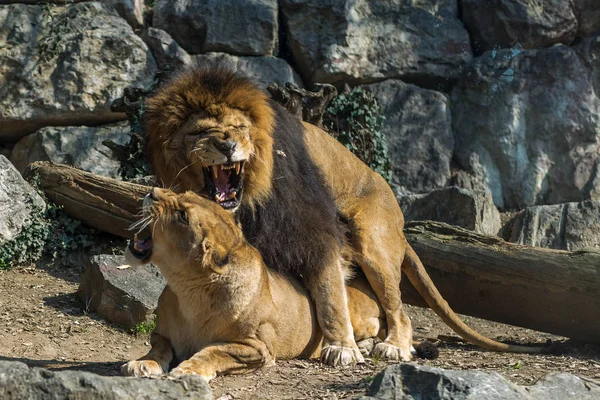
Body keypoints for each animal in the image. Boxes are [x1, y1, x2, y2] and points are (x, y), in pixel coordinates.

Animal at [122, 188, 386, 382]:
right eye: (184, 193)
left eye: (182, 216)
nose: (151, 191)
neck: (189, 291)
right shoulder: (160, 333)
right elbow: (159, 348)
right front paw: (143, 363)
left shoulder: (258, 348)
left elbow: (213, 351)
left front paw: (188, 370)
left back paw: (367, 347)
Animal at [144, 67, 544, 364]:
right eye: (200, 131)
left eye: (240, 129)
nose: (227, 145)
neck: (246, 203)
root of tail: (400, 221)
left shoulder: (311, 226)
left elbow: (329, 290)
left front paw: (341, 348)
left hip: (371, 238)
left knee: (399, 311)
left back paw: (393, 346)